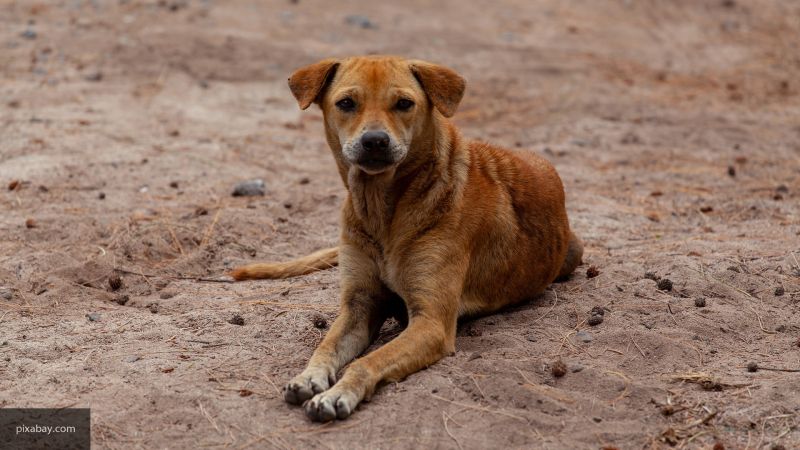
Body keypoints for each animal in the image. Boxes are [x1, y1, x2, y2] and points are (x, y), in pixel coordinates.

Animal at [231, 56, 580, 422]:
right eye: (346, 103)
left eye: (403, 104)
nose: (375, 141)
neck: (381, 210)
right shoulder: (359, 305)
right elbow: (325, 346)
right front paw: (308, 377)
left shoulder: (431, 323)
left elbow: (367, 361)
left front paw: (338, 393)